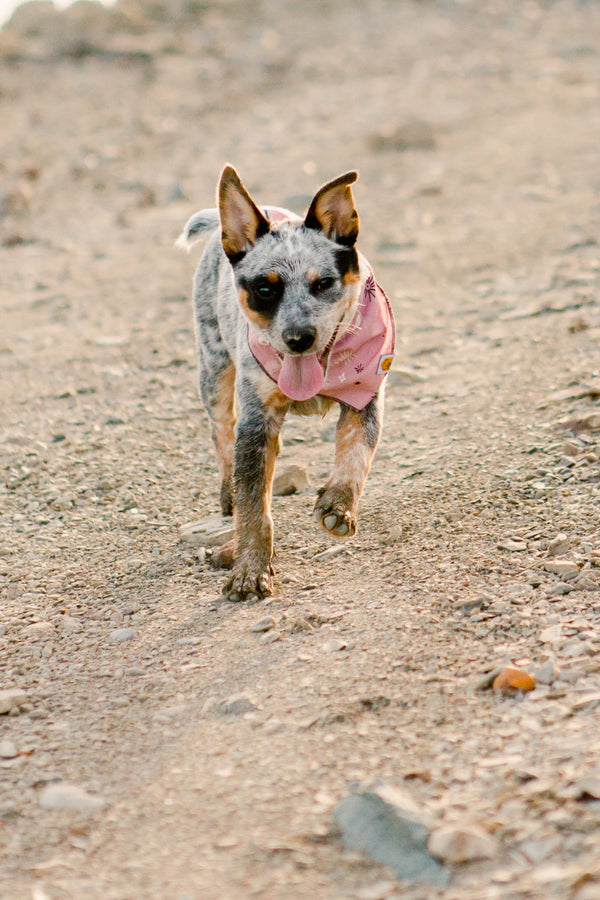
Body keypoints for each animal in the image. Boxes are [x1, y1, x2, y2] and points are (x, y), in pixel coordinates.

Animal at [178, 167, 394, 604]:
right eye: (265, 289)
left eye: (324, 283)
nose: (299, 338)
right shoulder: (257, 425)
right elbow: (253, 509)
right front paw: (249, 572)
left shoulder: (365, 395)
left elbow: (355, 456)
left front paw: (337, 506)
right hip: (214, 369)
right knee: (221, 432)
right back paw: (226, 492)